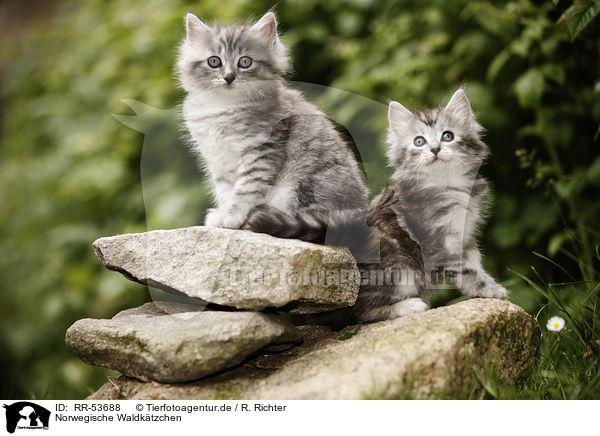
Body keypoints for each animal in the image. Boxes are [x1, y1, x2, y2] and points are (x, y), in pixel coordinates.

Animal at [176, 11, 368, 244]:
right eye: (214, 61)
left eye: (245, 62)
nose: (229, 77)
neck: (223, 106)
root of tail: (361, 213)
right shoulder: (218, 159)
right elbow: (225, 190)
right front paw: (224, 213)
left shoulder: (261, 151)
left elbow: (245, 189)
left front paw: (233, 215)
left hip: (303, 184)